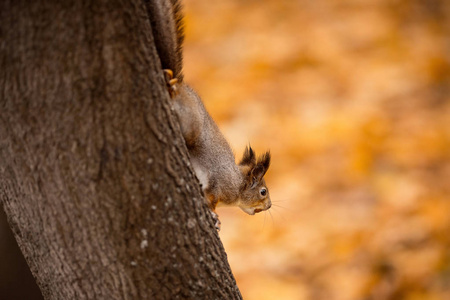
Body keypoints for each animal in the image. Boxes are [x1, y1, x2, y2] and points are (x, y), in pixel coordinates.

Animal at [145, 0, 270, 225]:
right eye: (263, 192)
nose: (270, 206)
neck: (238, 182)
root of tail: (180, 86)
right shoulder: (219, 186)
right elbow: (210, 199)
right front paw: (215, 216)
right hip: (191, 125)